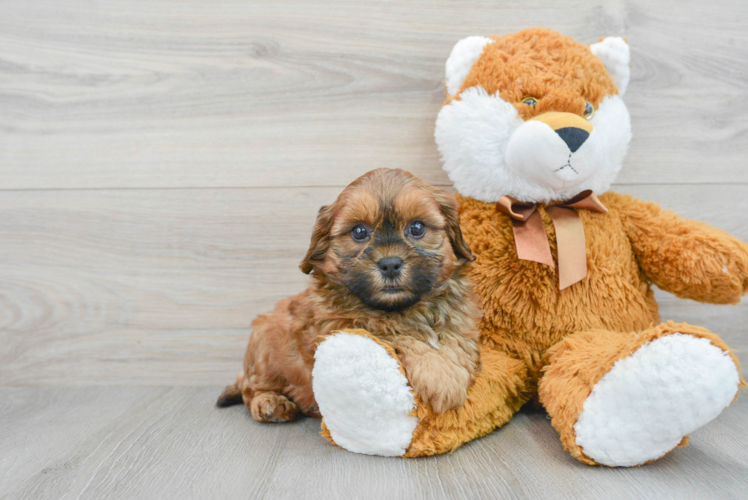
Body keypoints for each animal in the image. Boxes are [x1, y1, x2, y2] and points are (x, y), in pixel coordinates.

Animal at [215, 169, 486, 422]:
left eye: (417, 228)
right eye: (359, 232)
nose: (390, 264)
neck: (402, 307)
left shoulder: (458, 317)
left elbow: (454, 339)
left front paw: (449, 371)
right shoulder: (342, 325)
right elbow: (397, 333)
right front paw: (441, 377)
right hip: (264, 345)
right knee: (250, 389)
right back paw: (270, 403)